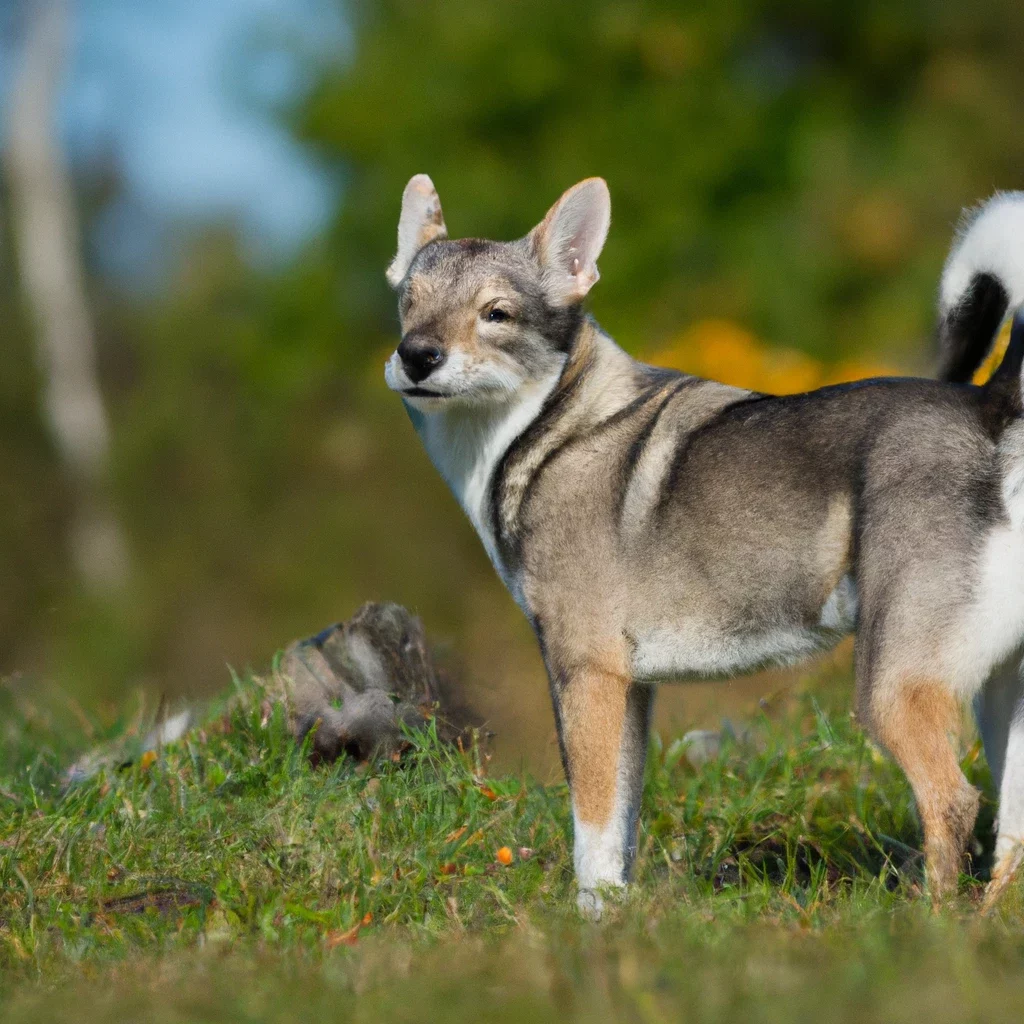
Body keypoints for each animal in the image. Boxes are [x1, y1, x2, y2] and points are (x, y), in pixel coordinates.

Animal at [382, 178, 1024, 913]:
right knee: (1011, 830)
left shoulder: (585, 672)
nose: (416, 356)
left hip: (893, 688)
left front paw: (589, 927)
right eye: (408, 303)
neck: (548, 423)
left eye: (497, 314)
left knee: (952, 803)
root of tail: (994, 407)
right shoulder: (631, 690)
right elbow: (619, 828)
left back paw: (929, 923)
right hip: (999, 699)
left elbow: (590, 827)